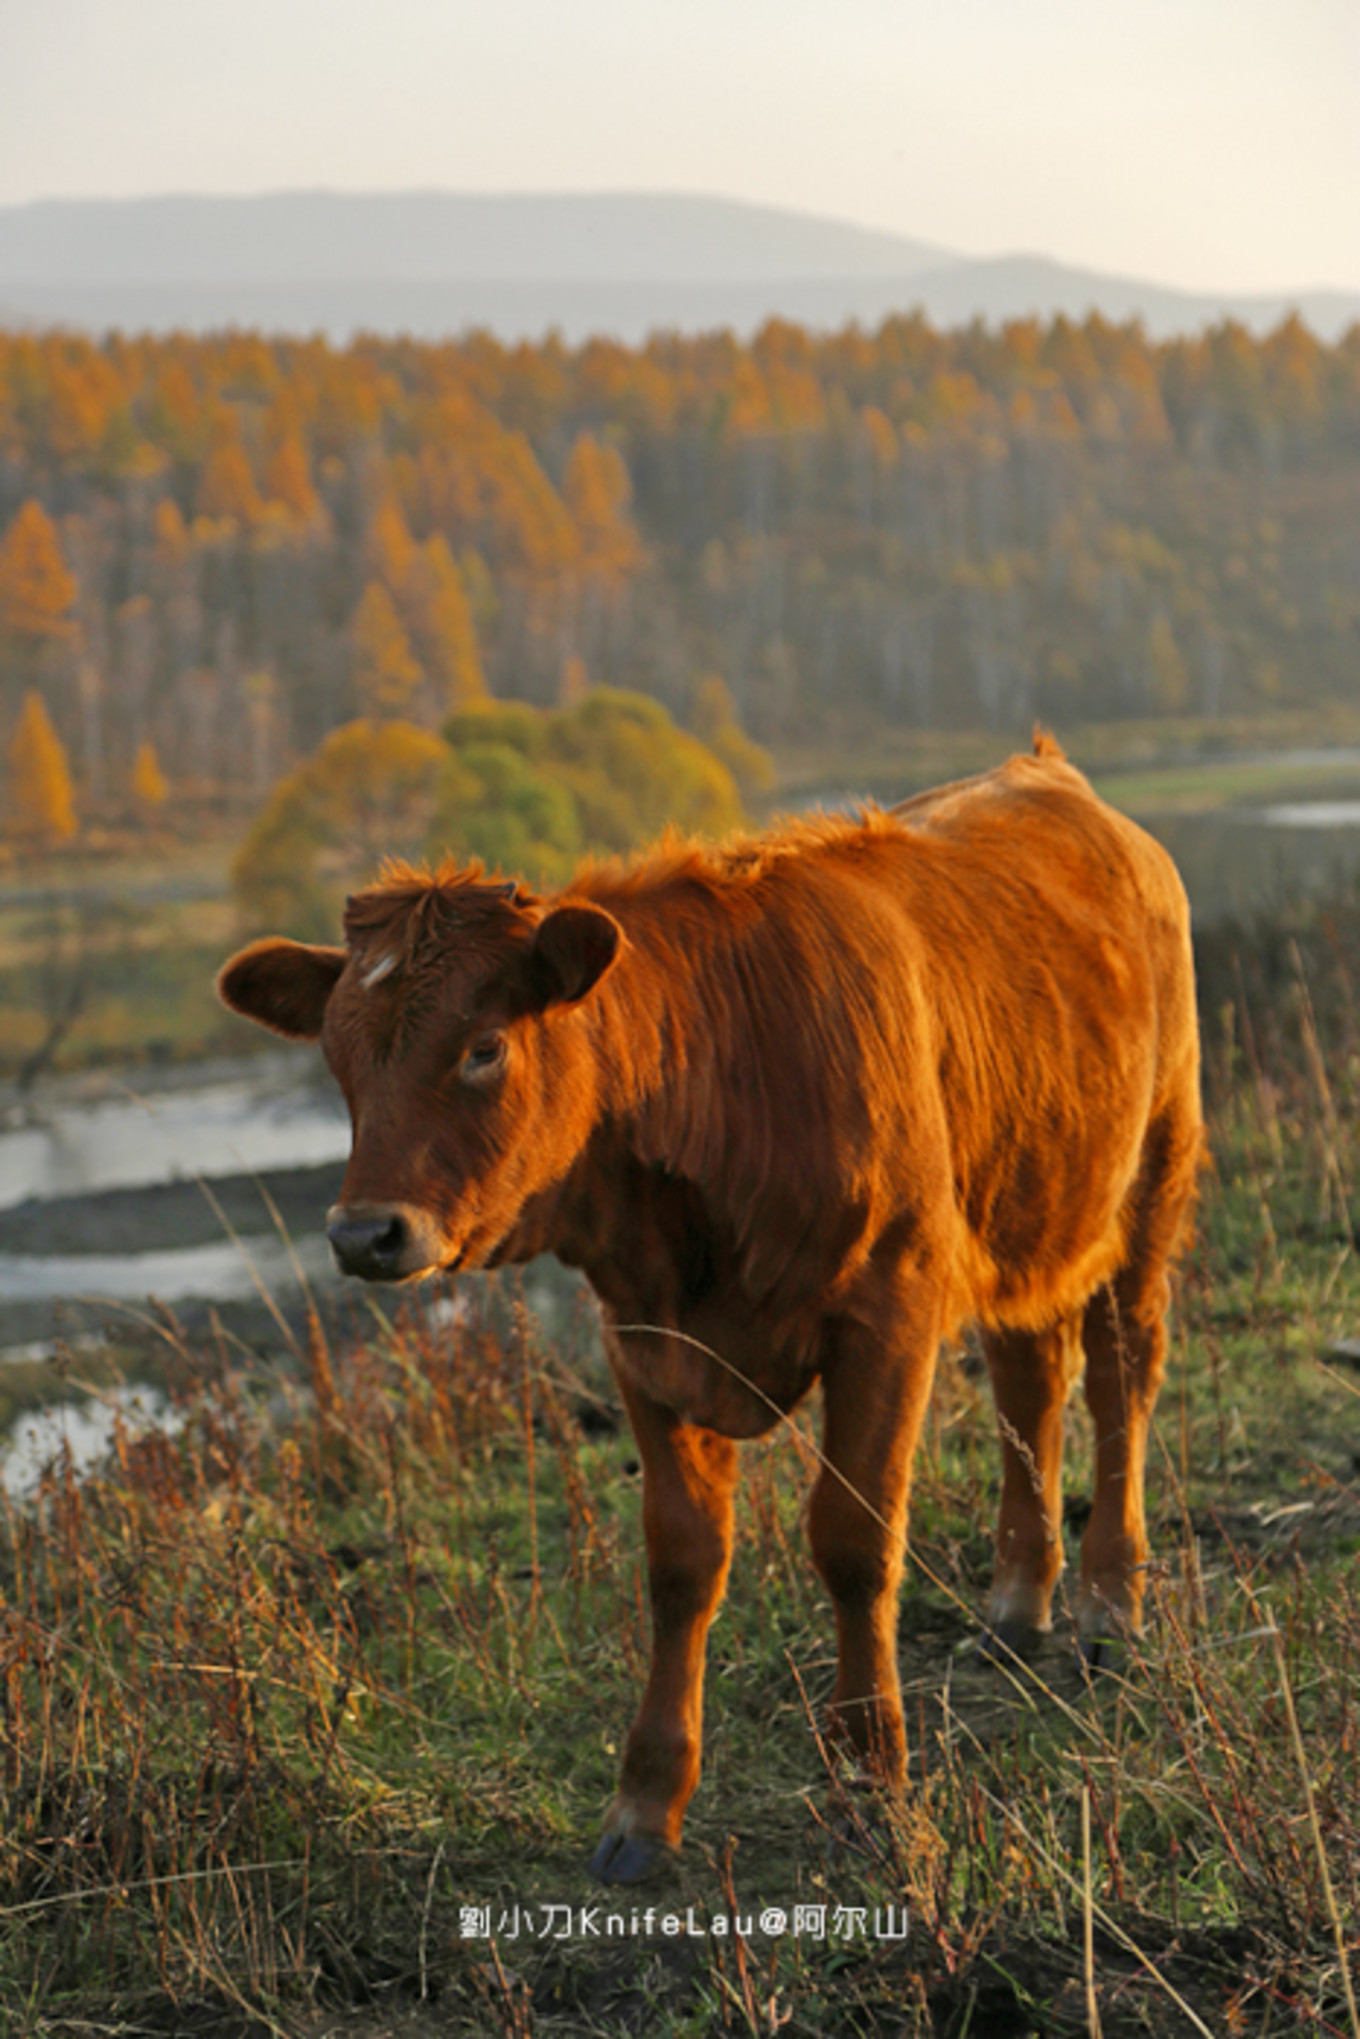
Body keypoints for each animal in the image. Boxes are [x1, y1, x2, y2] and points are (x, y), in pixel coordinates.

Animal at [218, 734, 1198, 1875]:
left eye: (483, 1045)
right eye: (338, 1056)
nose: (362, 1233)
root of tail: (1048, 774)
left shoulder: (889, 1312)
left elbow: (854, 1541)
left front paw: (871, 1777)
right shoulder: (645, 1339)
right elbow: (681, 1562)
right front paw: (646, 1805)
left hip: (1152, 1175)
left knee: (1121, 1376)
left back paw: (1109, 1603)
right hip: (1029, 1205)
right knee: (1027, 1380)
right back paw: (1018, 1595)